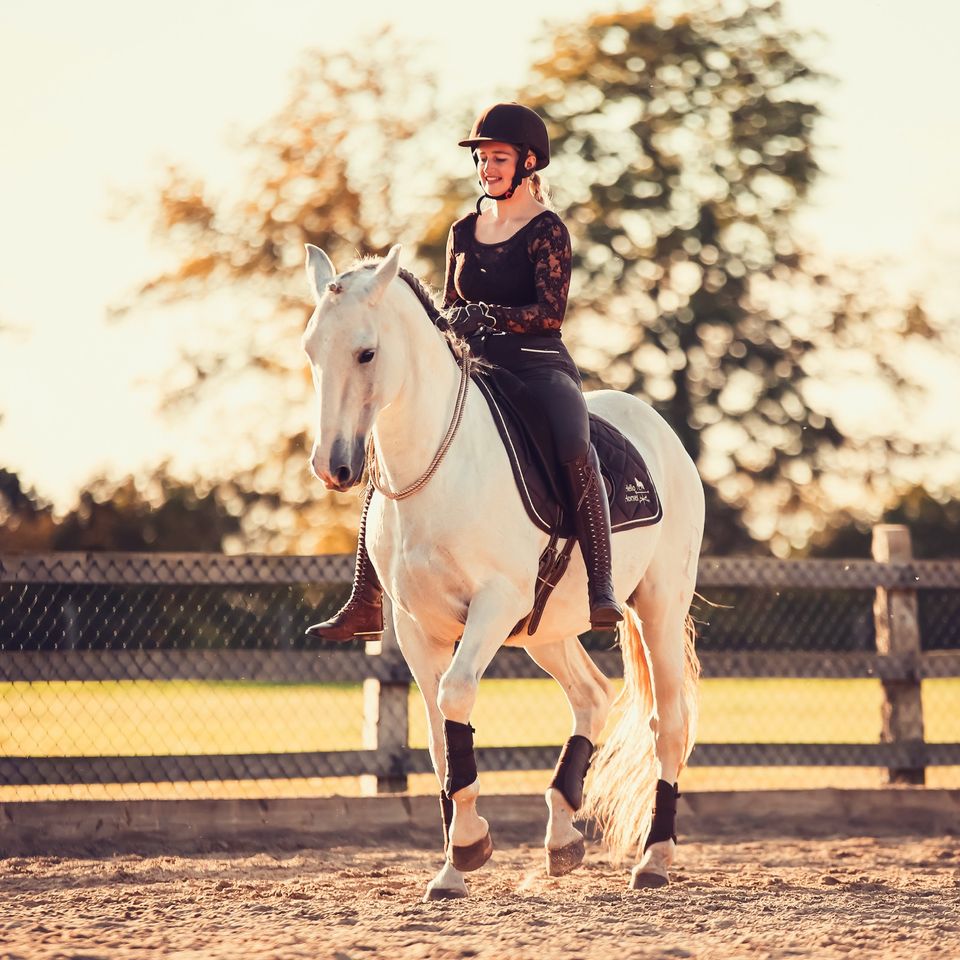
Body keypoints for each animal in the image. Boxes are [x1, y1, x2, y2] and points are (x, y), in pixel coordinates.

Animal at [302, 242, 704, 900]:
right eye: (312, 350)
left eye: (366, 352)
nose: (332, 466)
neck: (437, 466)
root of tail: (660, 431)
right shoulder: (417, 627)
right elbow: (440, 736)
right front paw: (451, 868)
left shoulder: (493, 606)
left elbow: (457, 694)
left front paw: (468, 845)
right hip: (546, 627)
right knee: (592, 696)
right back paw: (563, 839)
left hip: (658, 611)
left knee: (666, 723)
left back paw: (654, 860)